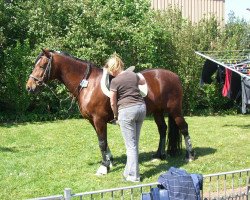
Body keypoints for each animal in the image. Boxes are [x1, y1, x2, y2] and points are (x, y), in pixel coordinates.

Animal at [26, 48, 195, 175]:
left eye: (42, 66)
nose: (29, 87)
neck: (88, 83)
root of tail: (174, 76)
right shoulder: (93, 121)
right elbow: (103, 141)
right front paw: (109, 160)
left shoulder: (99, 119)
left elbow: (102, 142)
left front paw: (103, 166)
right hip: (158, 112)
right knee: (162, 129)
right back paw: (159, 155)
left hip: (174, 110)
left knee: (184, 127)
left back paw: (190, 155)